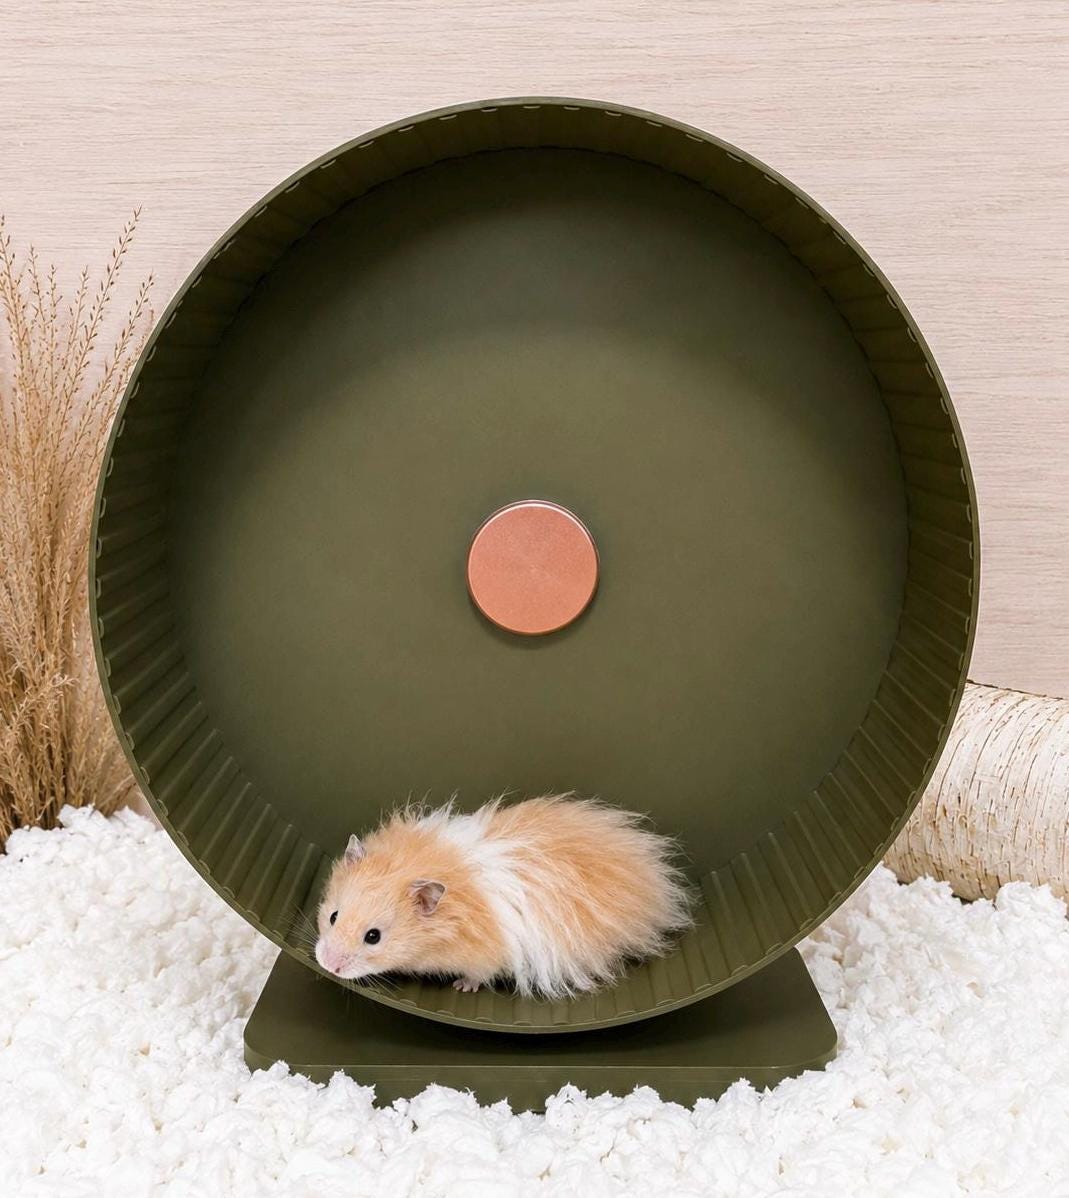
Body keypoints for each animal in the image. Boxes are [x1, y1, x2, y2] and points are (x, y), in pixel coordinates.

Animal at [314, 794, 694, 997]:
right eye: (333, 916)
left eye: (373, 937)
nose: (328, 965)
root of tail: (656, 874)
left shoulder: (486, 956)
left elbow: (479, 973)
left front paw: (462, 987)